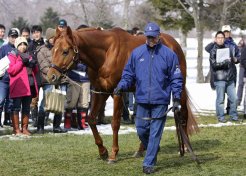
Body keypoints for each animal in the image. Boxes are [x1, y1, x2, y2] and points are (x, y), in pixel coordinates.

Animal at [47, 26, 199, 164]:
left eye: (65, 51)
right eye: (52, 50)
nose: (51, 76)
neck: (106, 53)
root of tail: (174, 43)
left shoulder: (117, 93)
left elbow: (115, 123)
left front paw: (113, 154)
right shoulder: (101, 91)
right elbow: (91, 119)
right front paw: (102, 151)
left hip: (179, 87)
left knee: (183, 113)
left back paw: (185, 147)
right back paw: (142, 149)